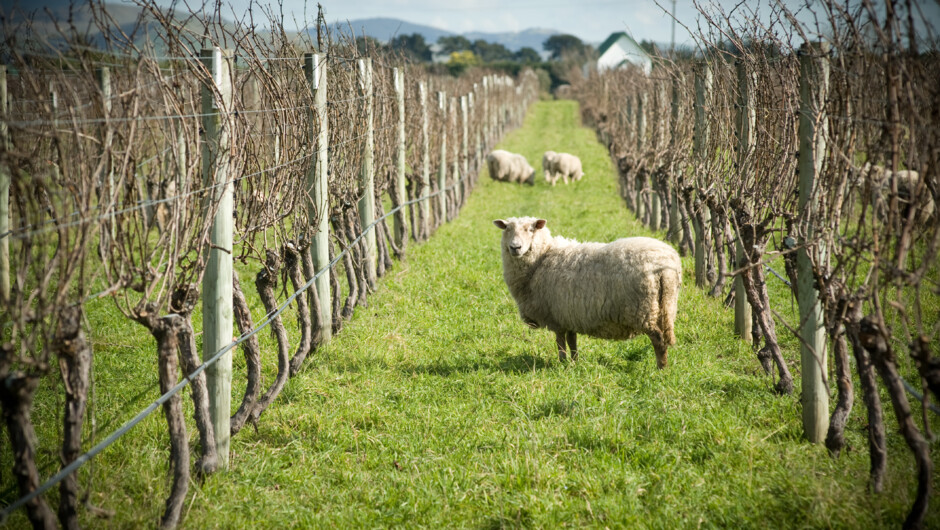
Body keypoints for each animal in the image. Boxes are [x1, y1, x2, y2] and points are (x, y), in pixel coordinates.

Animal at [492, 214, 684, 368]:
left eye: (530, 229)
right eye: (507, 228)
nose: (515, 248)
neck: (541, 259)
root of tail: (665, 266)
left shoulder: (556, 316)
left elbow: (560, 343)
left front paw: (562, 364)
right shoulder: (569, 314)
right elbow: (572, 341)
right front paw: (574, 362)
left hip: (643, 309)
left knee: (658, 340)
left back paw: (661, 369)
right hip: (665, 306)